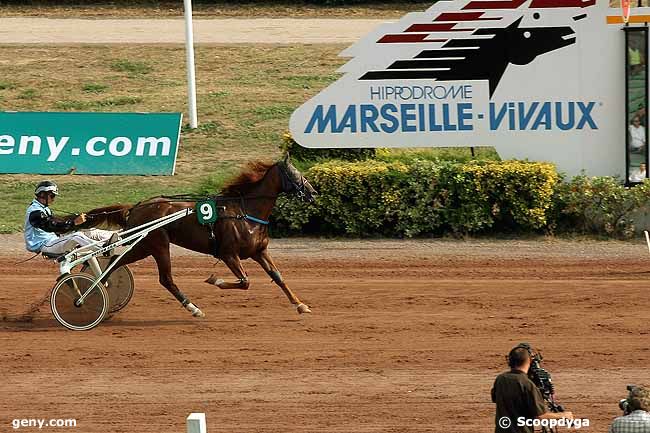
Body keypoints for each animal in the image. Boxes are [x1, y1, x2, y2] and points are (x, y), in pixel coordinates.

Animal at [83, 156, 316, 318]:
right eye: (294, 173)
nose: (313, 193)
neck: (245, 212)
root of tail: (136, 207)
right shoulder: (228, 254)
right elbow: (245, 282)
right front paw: (215, 280)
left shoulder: (259, 251)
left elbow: (278, 276)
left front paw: (301, 305)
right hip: (158, 245)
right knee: (165, 279)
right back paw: (193, 308)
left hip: (142, 247)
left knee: (115, 262)